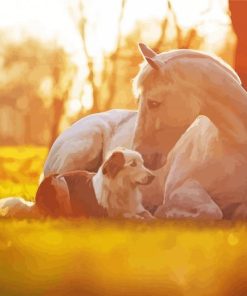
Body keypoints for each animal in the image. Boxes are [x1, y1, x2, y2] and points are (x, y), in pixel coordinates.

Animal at [0, 148, 154, 220]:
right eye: (133, 164)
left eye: (142, 163)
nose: (153, 176)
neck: (124, 188)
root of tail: (36, 204)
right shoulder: (107, 214)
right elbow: (127, 215)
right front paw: (138, 218)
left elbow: (148, 215)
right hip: (59, 181)